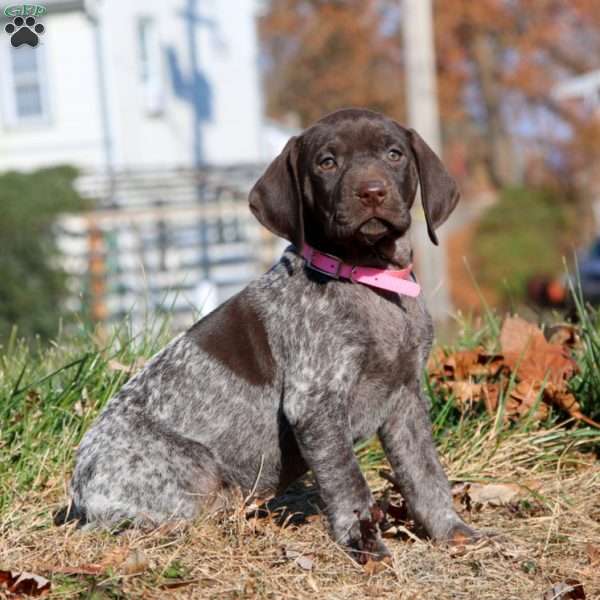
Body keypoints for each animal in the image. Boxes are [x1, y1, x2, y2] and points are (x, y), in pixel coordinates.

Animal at [67, 109, 478, 564]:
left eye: (394, 154)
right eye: (327, 162)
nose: (372, 192)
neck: (368, 279)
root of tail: (80, 489)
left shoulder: (406, 398)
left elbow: (425, 473)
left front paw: (451, 530)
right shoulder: (315, 403)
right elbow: (349, 481)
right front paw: (364, 543)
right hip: (191, 471)